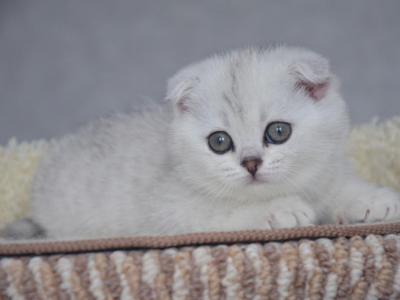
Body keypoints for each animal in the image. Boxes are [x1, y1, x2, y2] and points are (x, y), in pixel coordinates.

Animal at [3, 46, 400, 239]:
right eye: (219, 142)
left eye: (278, 132)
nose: (251, 163)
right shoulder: (174, 211)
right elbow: (227, 212)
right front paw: (280, 209)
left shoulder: (324, 173)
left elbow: (338, 189)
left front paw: (373, 200)